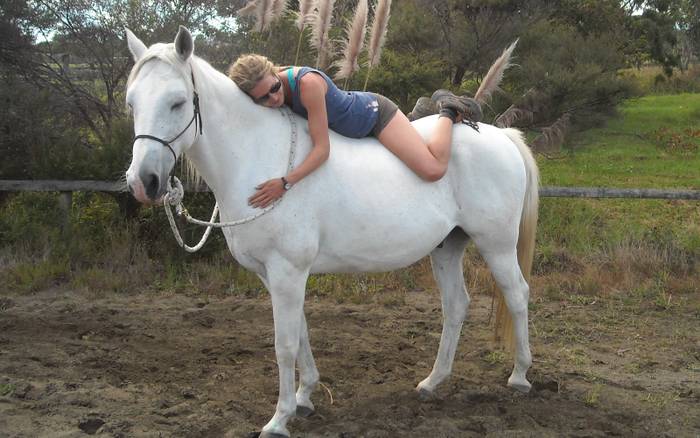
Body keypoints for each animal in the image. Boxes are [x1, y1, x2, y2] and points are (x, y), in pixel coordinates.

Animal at [124, 26, 539, 438]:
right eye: (132, 103)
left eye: (178, 103)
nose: (144, 182)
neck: (260, 155)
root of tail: (501, 137)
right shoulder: (274, 275)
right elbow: (301, 332)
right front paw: (305, 397)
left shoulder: (288, 270)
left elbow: (284, 344)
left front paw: (279, 419)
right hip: (447, 247)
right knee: (456, 305)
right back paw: (432, 382)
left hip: (497, 245)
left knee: (517, 295)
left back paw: (520, 376)